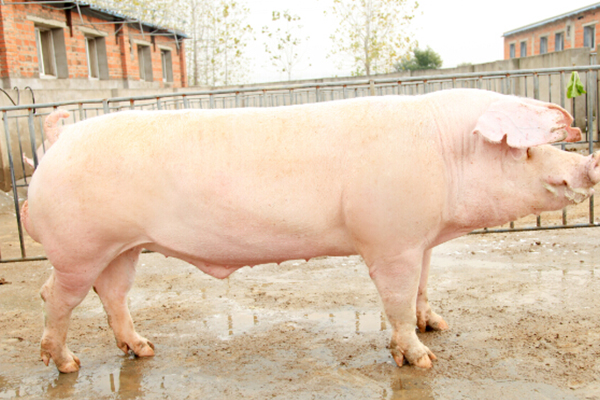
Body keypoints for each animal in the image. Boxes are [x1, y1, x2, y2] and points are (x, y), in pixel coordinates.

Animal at [21, 88, 600, 373]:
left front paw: (437, 325)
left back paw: (143, 351)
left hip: (122, 247)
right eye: (526, 148)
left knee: (114, 295)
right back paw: (67, 366)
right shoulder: (388, 241)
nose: (590, 163)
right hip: (77, 247)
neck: (445, 151)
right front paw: (422, 359)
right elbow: (395, 299)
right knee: (55, 296)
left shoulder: (418, 238)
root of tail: (58, 138)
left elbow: (422, 287)